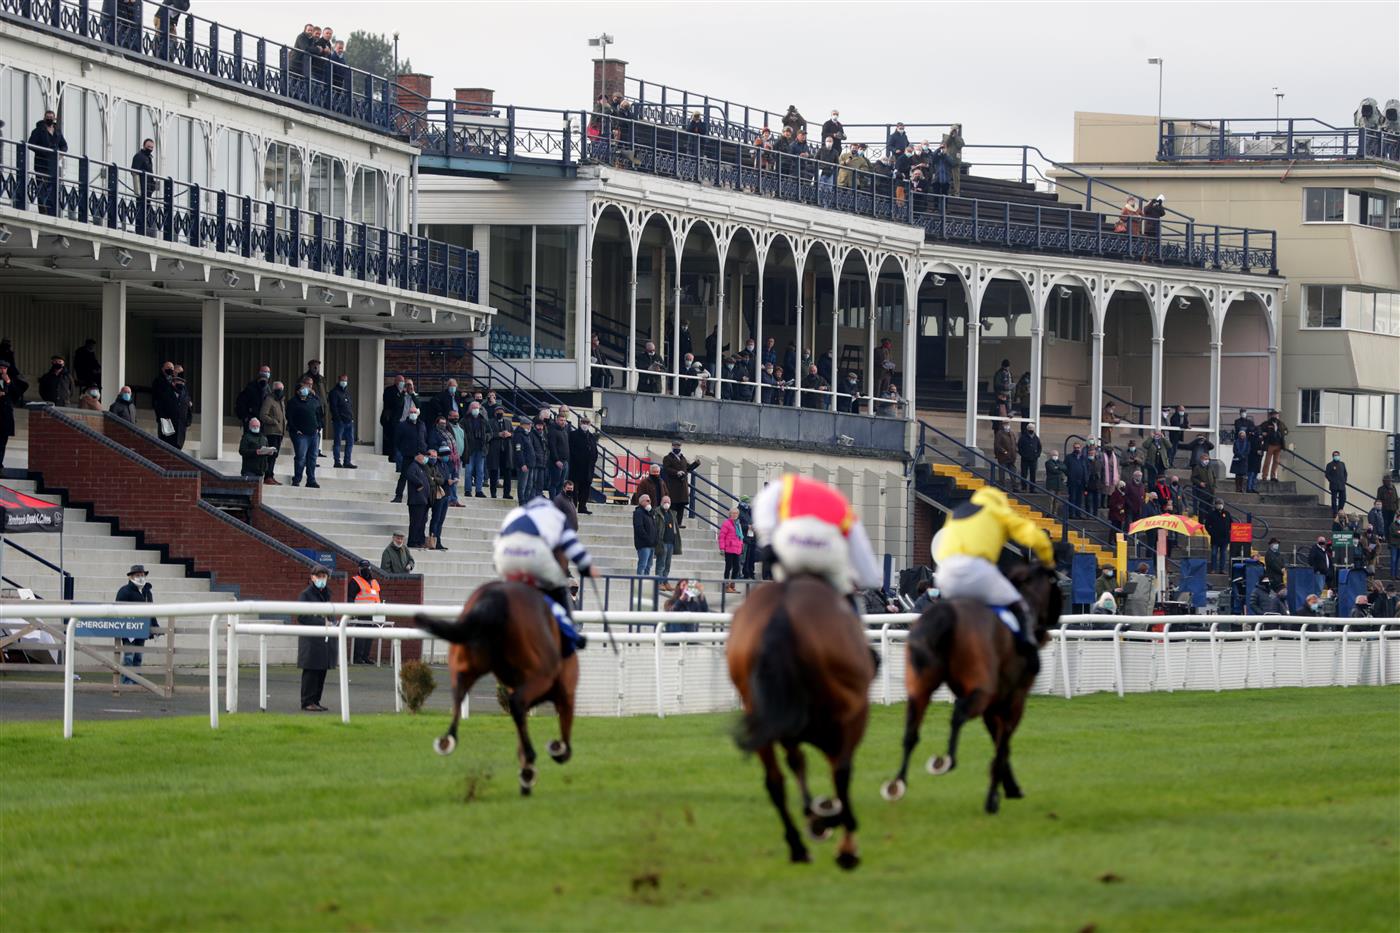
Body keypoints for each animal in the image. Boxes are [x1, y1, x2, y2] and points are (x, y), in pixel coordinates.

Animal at [411, 582, 576, 790]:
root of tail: (492, 602)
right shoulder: (562, 692)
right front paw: (552, 753)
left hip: (465, 664)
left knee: (459, 695)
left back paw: (447, 741)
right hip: (539, 677)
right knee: (515, 704)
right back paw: (531, 763)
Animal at [722, 574, 873, 862]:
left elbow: (797, 764)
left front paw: (815, 815)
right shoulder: (845, 722)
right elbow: (839, 772)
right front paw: (832, 825)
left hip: (758, 714)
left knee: (774, 781)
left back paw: (798, 846)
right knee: (837, 772)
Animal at [879, 560, 1064, 812]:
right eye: (1056, 582)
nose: (1056, 616)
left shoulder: (993, 706)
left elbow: (998, 740)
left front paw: (1009, 786)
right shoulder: (1013, 700)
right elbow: (1003, 742)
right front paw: (996, 795)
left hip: (919, 688)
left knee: (911, 733)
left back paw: (897, 784)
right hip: (981, 689)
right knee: (959, 713)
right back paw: (945, 761)